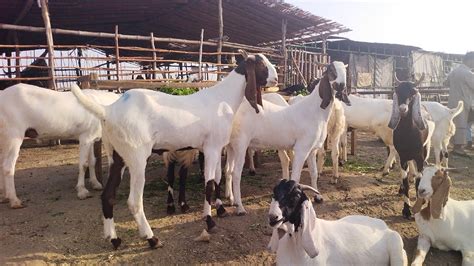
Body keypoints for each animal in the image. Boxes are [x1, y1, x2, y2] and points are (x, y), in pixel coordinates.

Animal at [70, 50, 278, 249]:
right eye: (260, 64)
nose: (275, 78)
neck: (222, 100)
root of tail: (108, 111)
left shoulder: (215, 148)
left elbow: (217, 178)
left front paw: (220, 210)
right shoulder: (211, 148)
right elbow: (209, 183)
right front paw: (209, 221)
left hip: (118, 156)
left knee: (108, 196)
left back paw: (114, 239)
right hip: (137, 158)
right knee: (134, 201)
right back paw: (151, 239)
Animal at [226, 61, 352, 214]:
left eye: (345, 72)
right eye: (331, 71)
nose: (341, 86)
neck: (315, 111)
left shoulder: (312, 150)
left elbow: (314, 173)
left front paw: (318, 197)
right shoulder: (301, 149)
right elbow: (296, 176)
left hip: (231, 145)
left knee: (228, 171)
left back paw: (231, 199)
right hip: (241, 144)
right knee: (236, 173)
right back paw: (240, 207)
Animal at [386, 74, 436, 218]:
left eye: (413, 92)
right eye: (397, 91)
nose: (403, 109)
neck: (408, 134)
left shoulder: (419, 157)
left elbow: (419, 182)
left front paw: (419, 204)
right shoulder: (403, 157)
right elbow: (406, 182)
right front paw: (406, 210)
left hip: (425, 149)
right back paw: (401, 189)